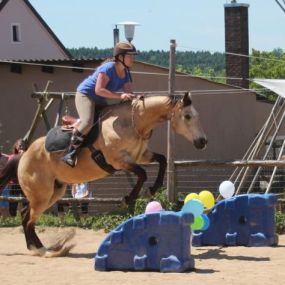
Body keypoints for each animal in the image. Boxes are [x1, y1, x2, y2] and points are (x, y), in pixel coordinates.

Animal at [2, 91, 206, 255]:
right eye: (187, 116)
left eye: (196, 115)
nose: (203, 142)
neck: (133, 123)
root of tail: (23, 155)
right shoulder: (119, 161)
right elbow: (142, 174)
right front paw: (128, 198)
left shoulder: (141, 156)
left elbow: (162, 161)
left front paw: (152, 189)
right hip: (42, 195)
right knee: (28, 218)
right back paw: (40, 249)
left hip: (54, 192)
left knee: (26, 215)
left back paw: (40, 248)